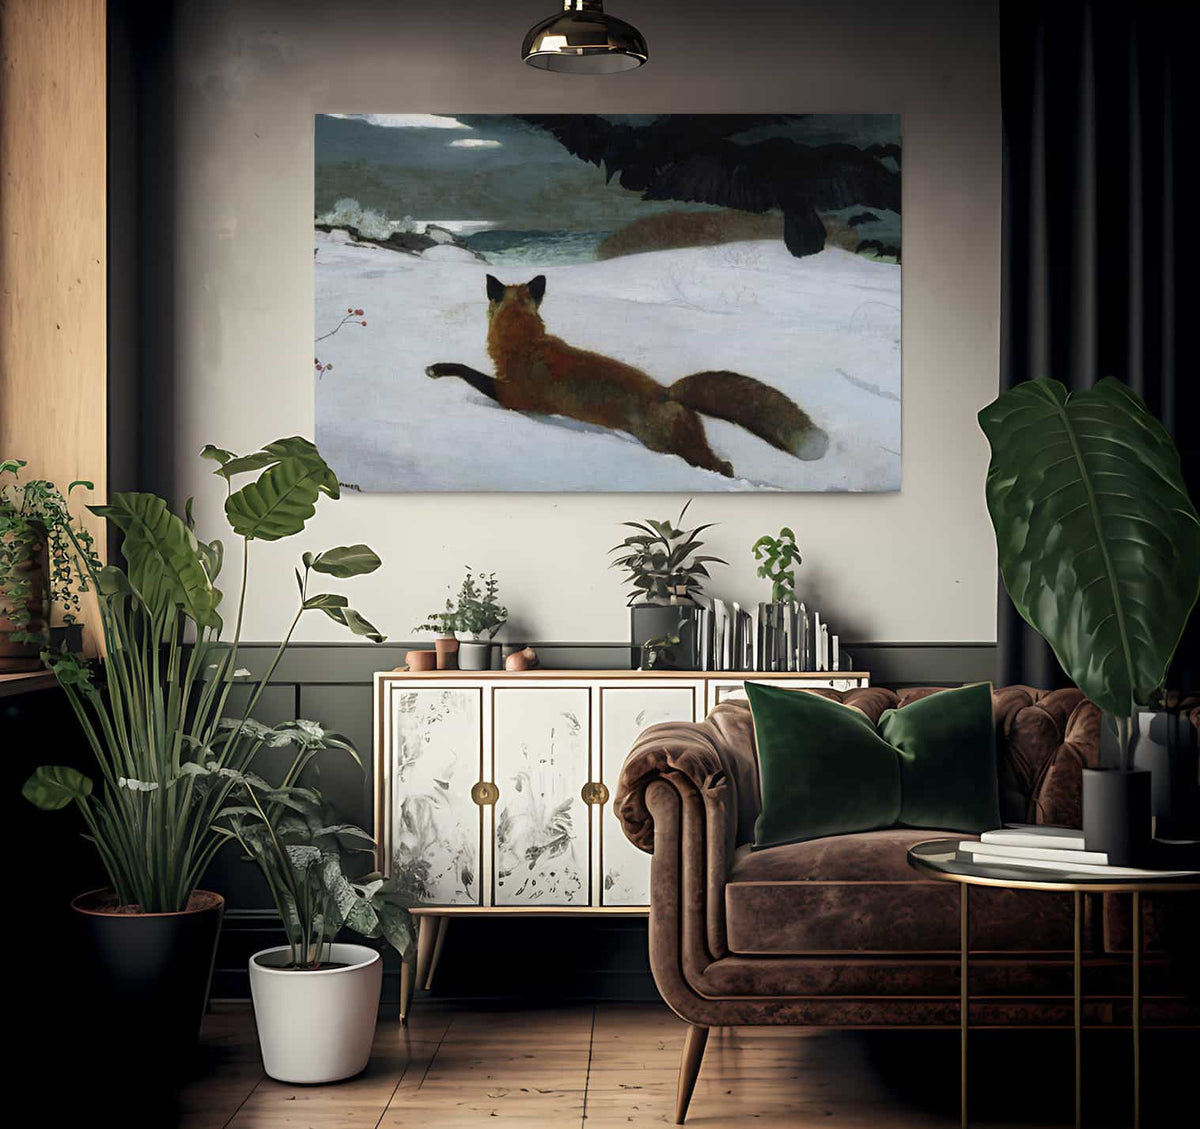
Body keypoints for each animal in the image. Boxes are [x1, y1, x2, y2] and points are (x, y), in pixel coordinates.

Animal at [425, 274, 829, 478]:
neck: (526, 345)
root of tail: (667, 391)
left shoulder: (513, 397)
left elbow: (466, 372)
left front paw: (438, 369)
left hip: (669, 446)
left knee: (718, 467)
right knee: (723, 465)